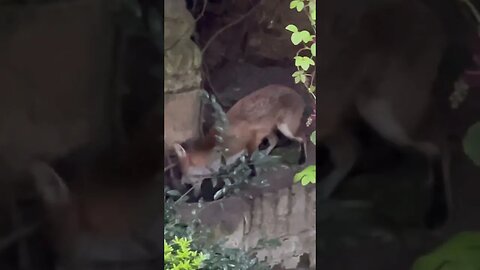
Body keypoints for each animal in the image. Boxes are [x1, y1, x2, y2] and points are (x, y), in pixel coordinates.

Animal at [172, 84, 308, 192]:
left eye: (185, 173)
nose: (183, 184)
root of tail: (296, 93)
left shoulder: (251, 139)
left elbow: (249, 160)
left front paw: (251, 175)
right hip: (272, 130)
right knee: (275, 139)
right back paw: (264, 156)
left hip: (286, 129)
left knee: (303, 137)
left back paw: (302, 159)